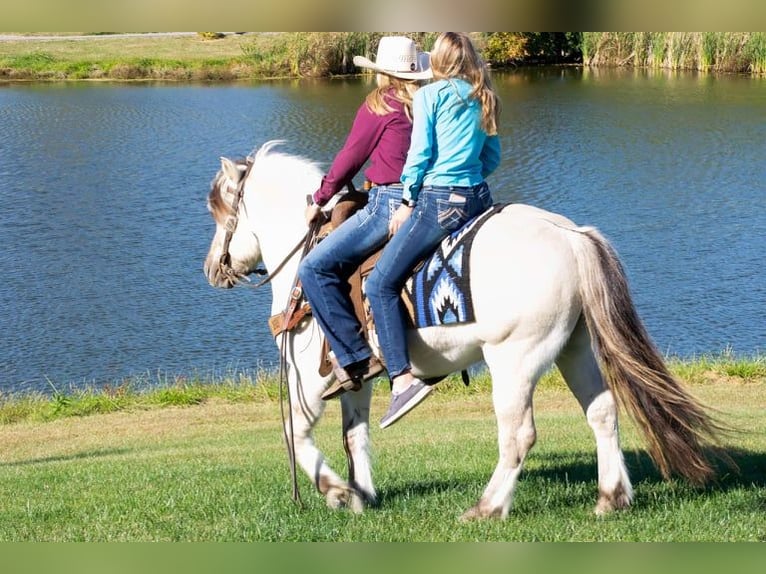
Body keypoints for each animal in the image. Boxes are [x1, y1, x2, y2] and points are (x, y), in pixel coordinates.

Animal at [202, 141, 728, 520]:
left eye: (220, 211)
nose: (212, 268)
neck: (304, 259)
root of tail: (572, 237)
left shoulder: (311, 378)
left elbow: (297, 432)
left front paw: (333, 491)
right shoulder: (355, 375)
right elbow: (356, 435)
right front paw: (361, 496)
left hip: (514, 360)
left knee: (518, 435)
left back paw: (488, 507)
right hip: (573, 348)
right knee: (603, 413)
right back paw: (611, 498)